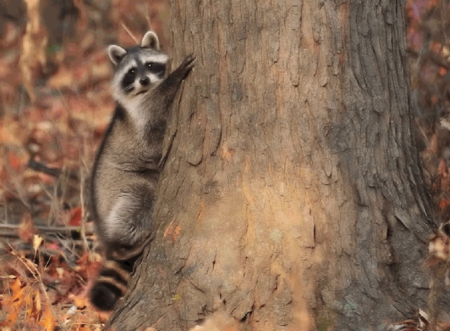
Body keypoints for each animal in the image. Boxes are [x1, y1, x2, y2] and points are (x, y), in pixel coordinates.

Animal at [89, 30, 194, 312]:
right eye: (132, 72)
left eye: (149, 65)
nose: (145, 79)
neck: (145, 89)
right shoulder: (139, 111)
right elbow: (156, 103)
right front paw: (173, 78)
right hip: (124, 185)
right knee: (138, 202)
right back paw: (123, 248)